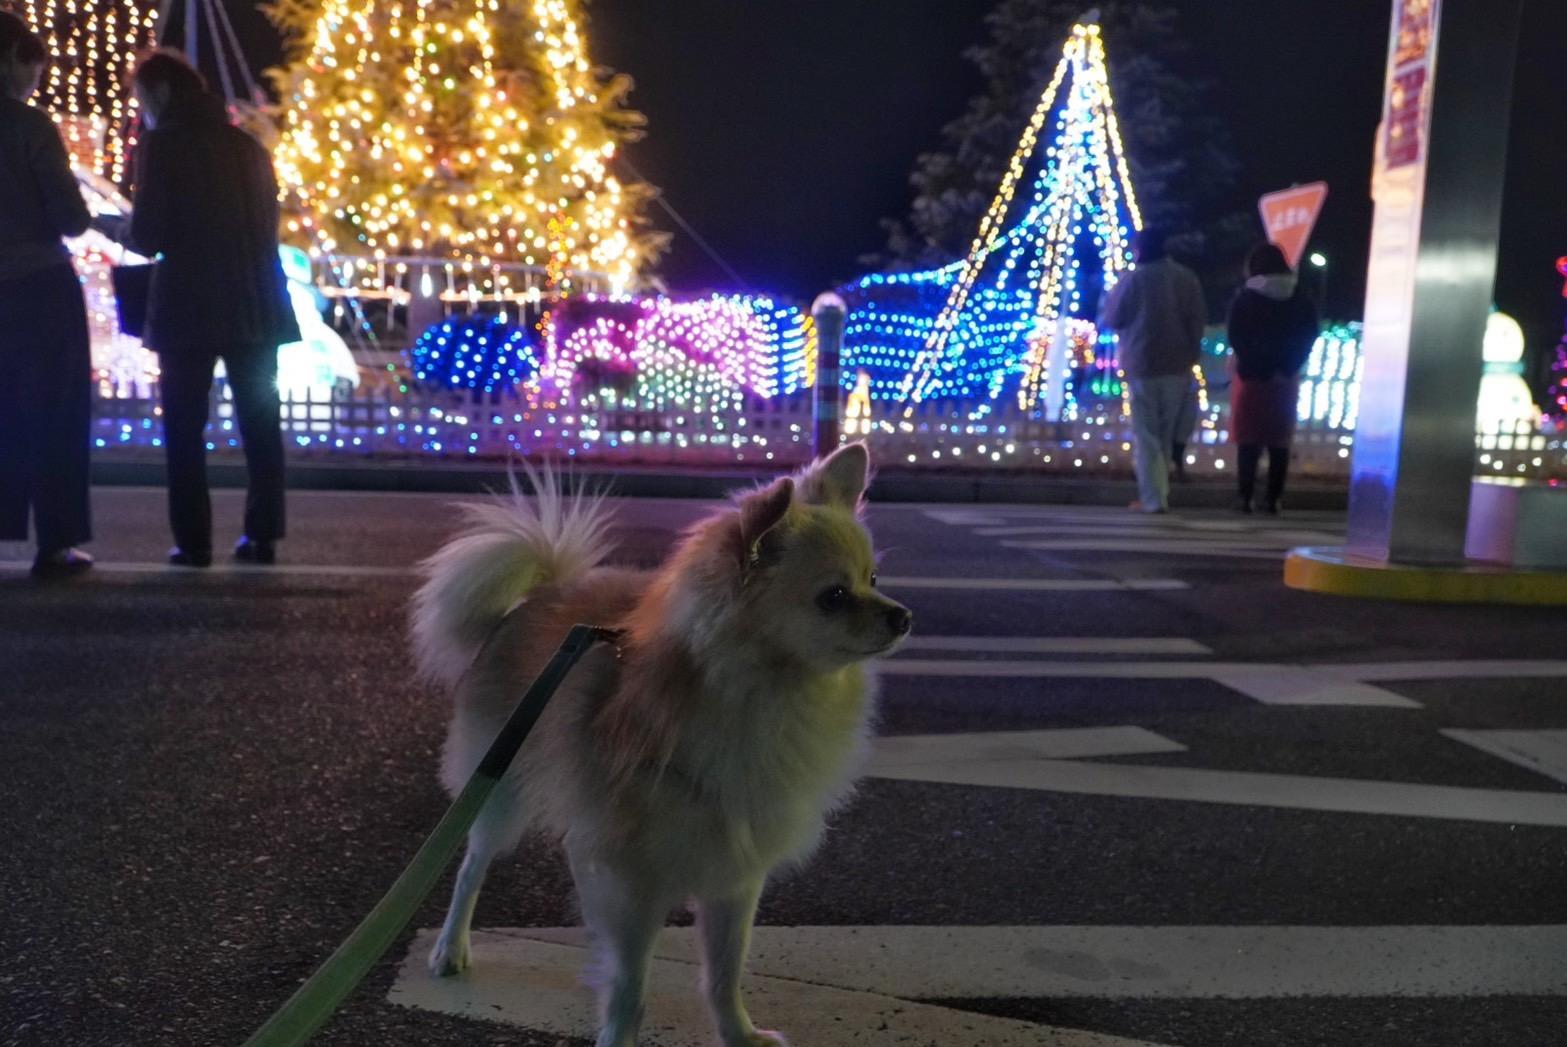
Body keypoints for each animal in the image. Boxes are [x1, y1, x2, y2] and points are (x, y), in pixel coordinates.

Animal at [410, 445, 915, 1047]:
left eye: (874, 577)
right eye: (833, 597)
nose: (904, 615)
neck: (770, 693)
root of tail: (541, 596)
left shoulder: (734, 870)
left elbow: (724, 971)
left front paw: (738, 1034)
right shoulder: (634, 880)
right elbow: (631, 985)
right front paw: (617, 1034)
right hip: (501, 785)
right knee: (472, 865)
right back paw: (449, 947)